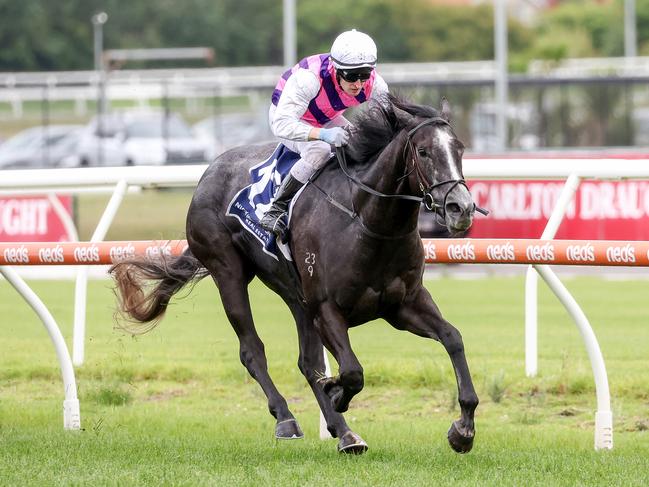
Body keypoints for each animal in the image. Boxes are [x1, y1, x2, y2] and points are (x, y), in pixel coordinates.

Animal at [109, 94, 478, 454]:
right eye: (424, 151)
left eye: (459, 148)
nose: (460, 208)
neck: (365, 222)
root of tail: (208, 173)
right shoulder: (327, 309)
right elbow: (352, 372)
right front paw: (335, 393)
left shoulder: (404, 305)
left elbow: (453, 338)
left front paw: (463, 430)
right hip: (228, 272)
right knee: (252, 351)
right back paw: (287, 418)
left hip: (295, 294)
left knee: (306, 361)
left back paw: (346, 434)